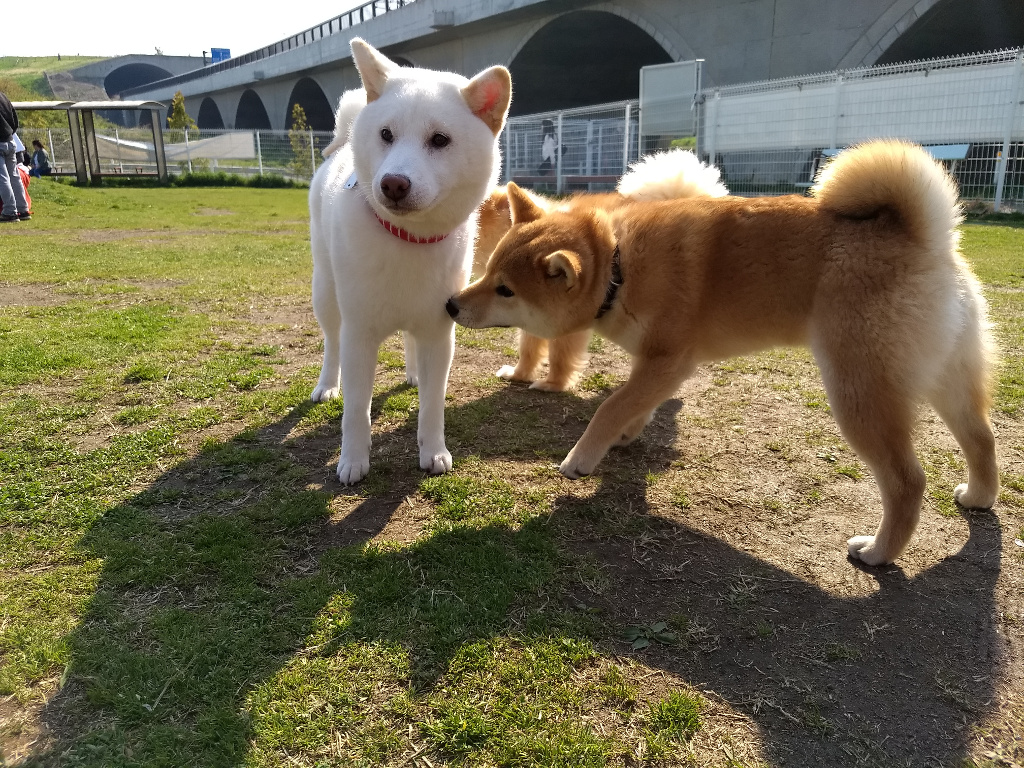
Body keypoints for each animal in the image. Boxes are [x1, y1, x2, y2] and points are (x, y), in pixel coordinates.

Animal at [305, 39, 509, 483]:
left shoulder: (439, 333)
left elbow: (433, 405)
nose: (393, 183)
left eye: (440, 140)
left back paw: (413, 373)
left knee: (410, 342)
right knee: (330, 342)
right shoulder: (359, 334)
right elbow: (356, 411)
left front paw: (433, 451)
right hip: (326, 294)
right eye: (386, 135)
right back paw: (327, 384)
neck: (408, 240)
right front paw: (353, 460)